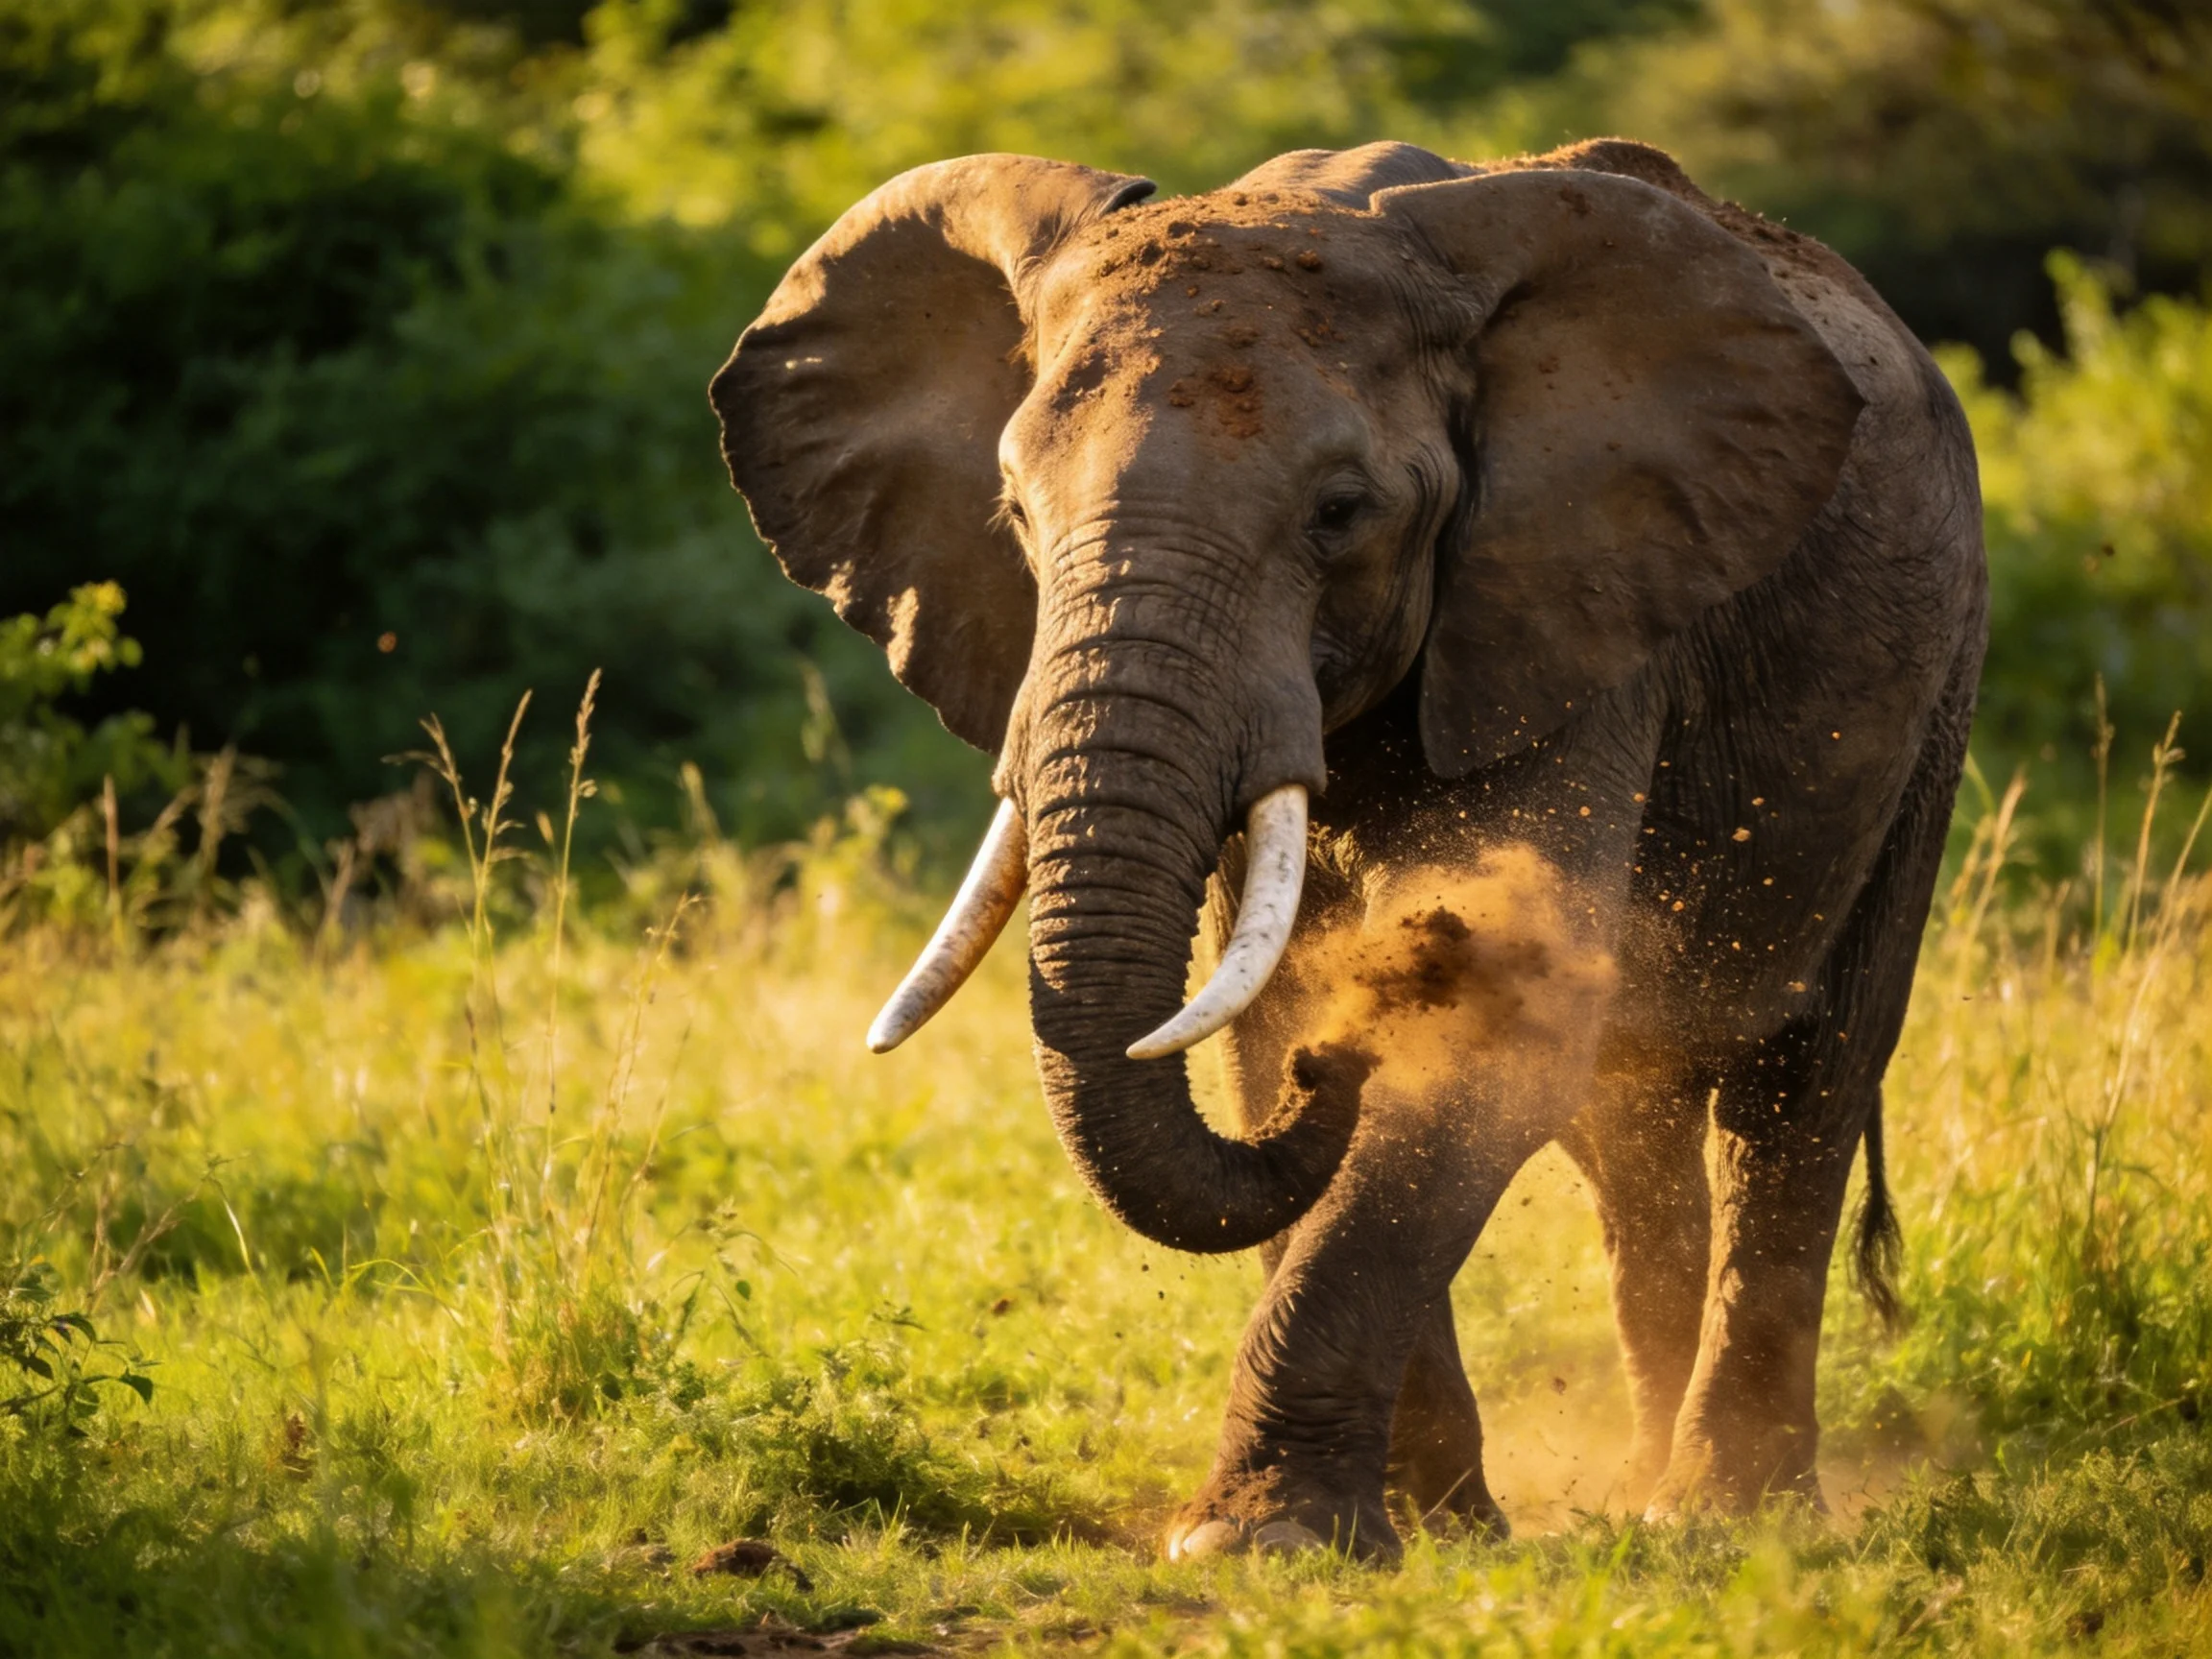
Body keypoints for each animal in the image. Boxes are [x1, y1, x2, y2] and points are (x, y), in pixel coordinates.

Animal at [711, 137, 1987, 1561]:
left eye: (1340, 511)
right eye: (1015, 511)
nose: (1345, 1057)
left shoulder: (1571, 616)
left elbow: (1491, 1016)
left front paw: (1259, 1541)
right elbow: (1271, 1036)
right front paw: (1434, 1527)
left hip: (1934, 690)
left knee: (1806, 1085)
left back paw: (1726, 1516)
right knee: (1629, 1124)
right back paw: (1646, 1480)